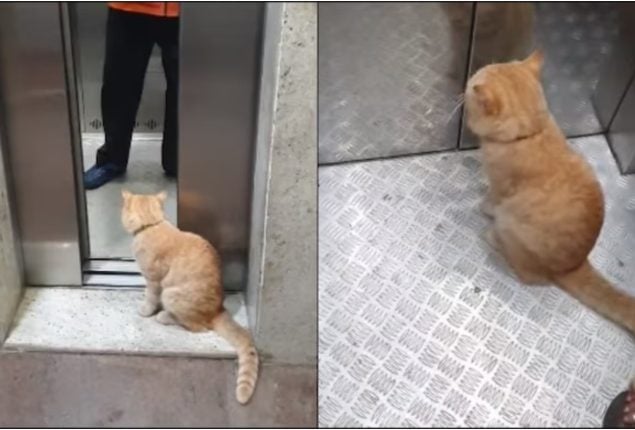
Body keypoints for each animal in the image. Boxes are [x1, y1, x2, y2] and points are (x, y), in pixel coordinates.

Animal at [120, 191, 260, 404]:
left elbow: (151, 297)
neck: (152, 224)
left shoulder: (154, 280)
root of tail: (218, 310)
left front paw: (146, 310)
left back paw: (165, 316)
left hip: (172, 295)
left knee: (196, 326)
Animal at [464, 51, 635, 332]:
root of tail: (576, 264)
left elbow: (490, 199)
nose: (467, 82)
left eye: (470, 86)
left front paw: (483, 206)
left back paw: (494, 237)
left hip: (512, 224)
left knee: (529, 275)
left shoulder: (501, 187)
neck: (531, 134)